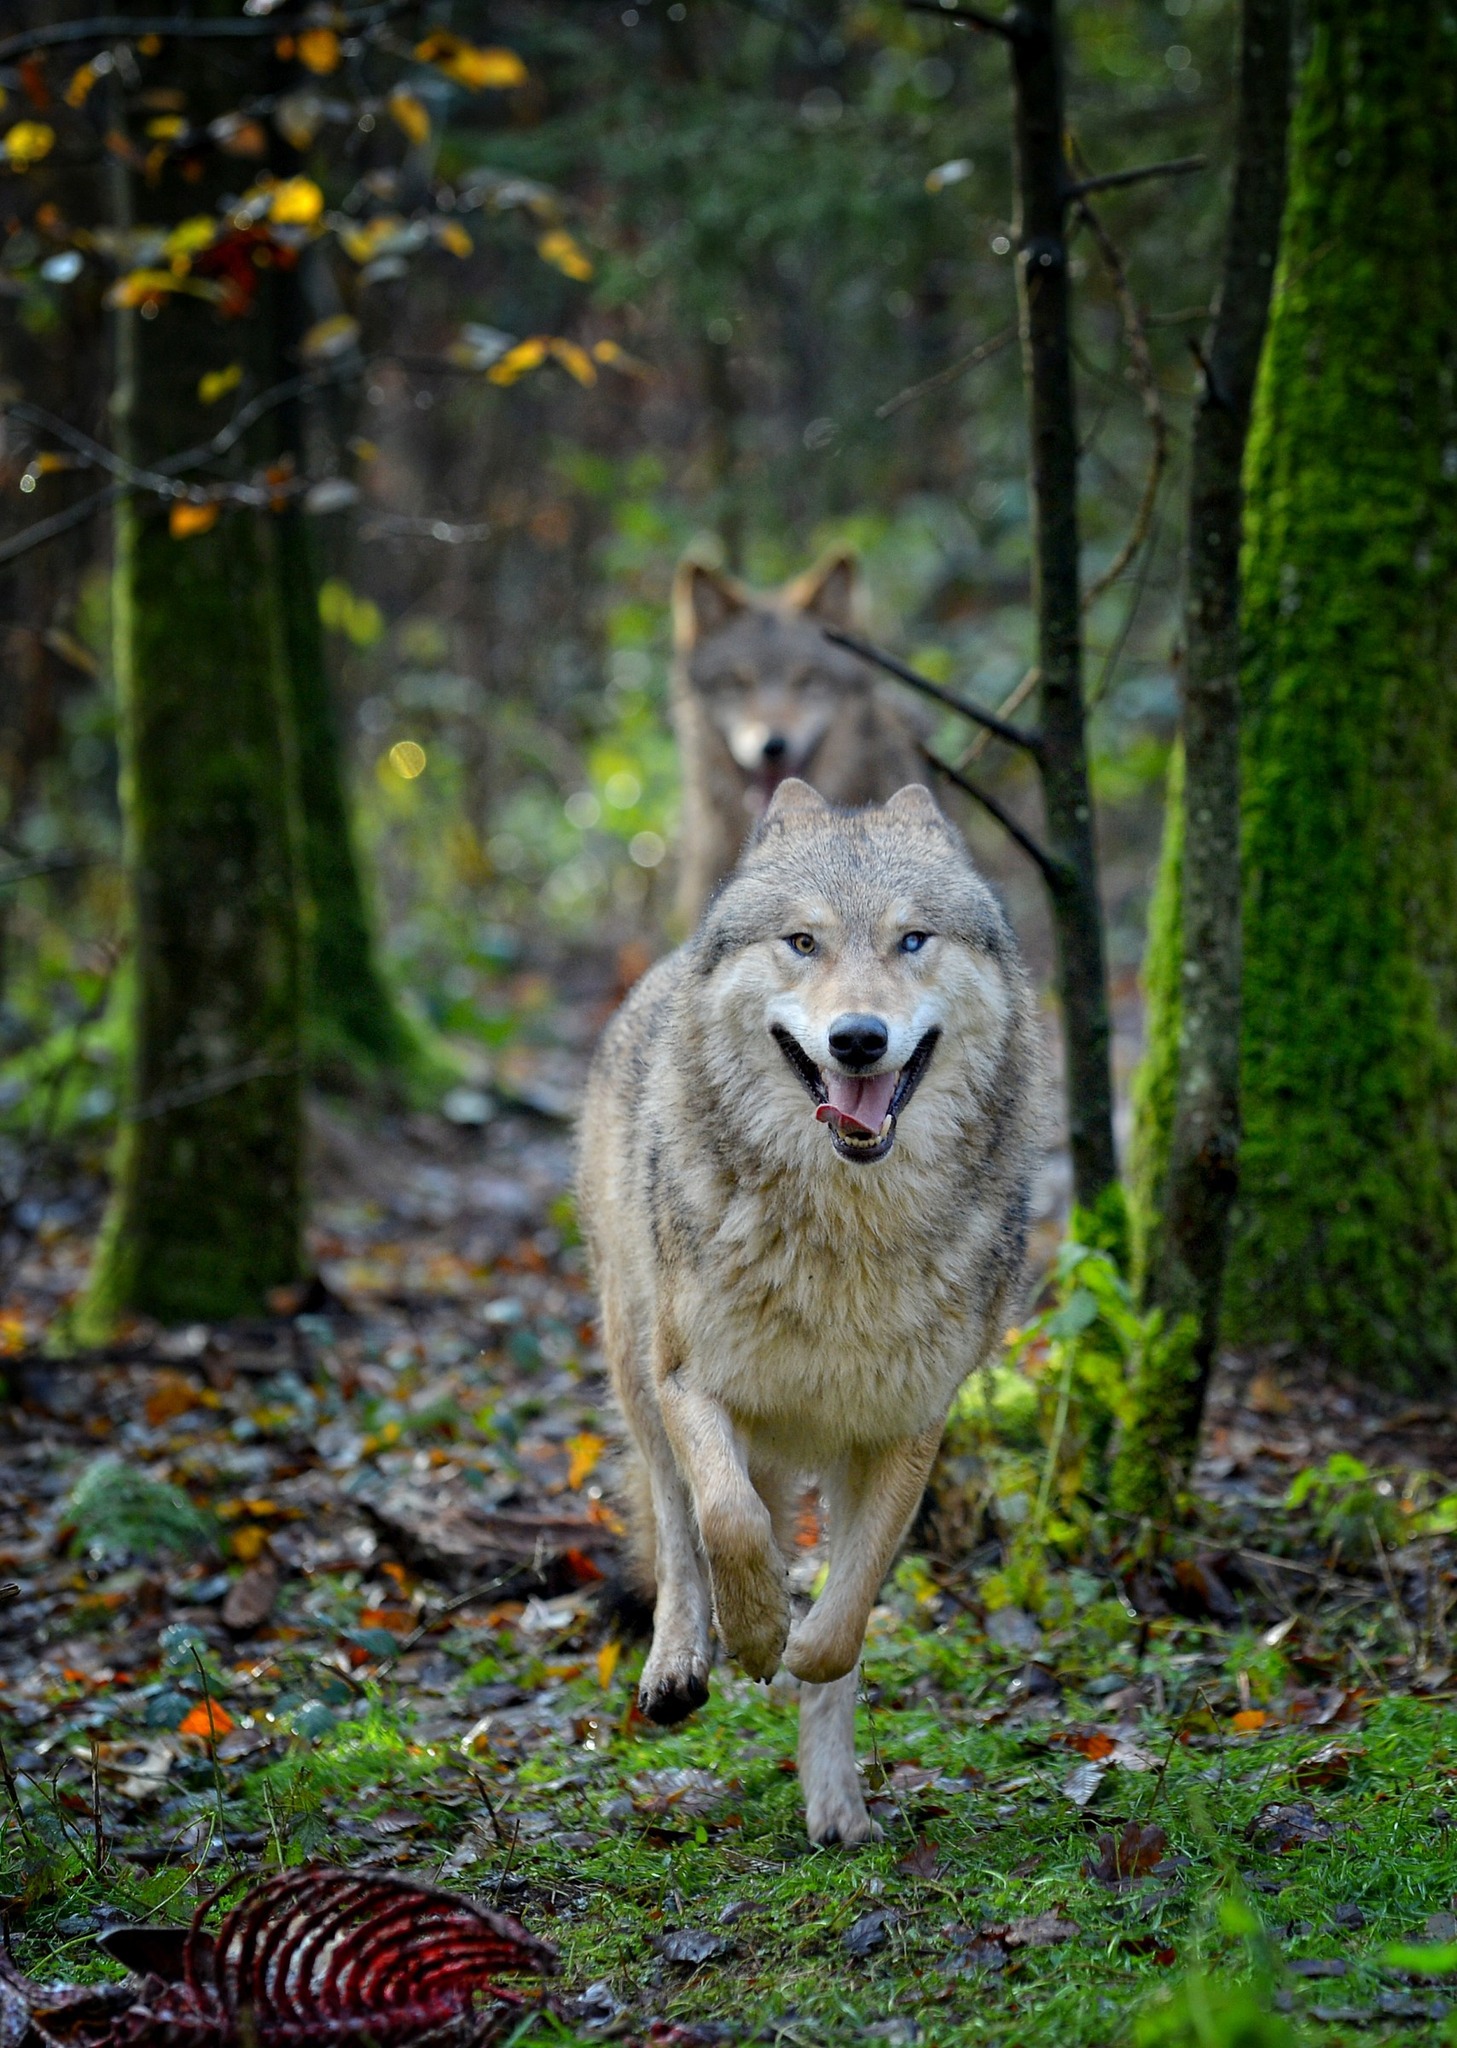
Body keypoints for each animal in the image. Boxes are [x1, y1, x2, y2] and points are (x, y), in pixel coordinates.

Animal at [578, 781, 1038, 1845]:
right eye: (802, 942)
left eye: (911, 940)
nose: (857, 1038)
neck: (843, 1237)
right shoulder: (689, 1381)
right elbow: (727, 1519)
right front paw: (750, 1635)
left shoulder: (906, 1427)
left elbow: (846, 1619)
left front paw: (796, 1655)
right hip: (632, 1360)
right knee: (673, 1519)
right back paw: (680, 1662)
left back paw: (837, 1811)